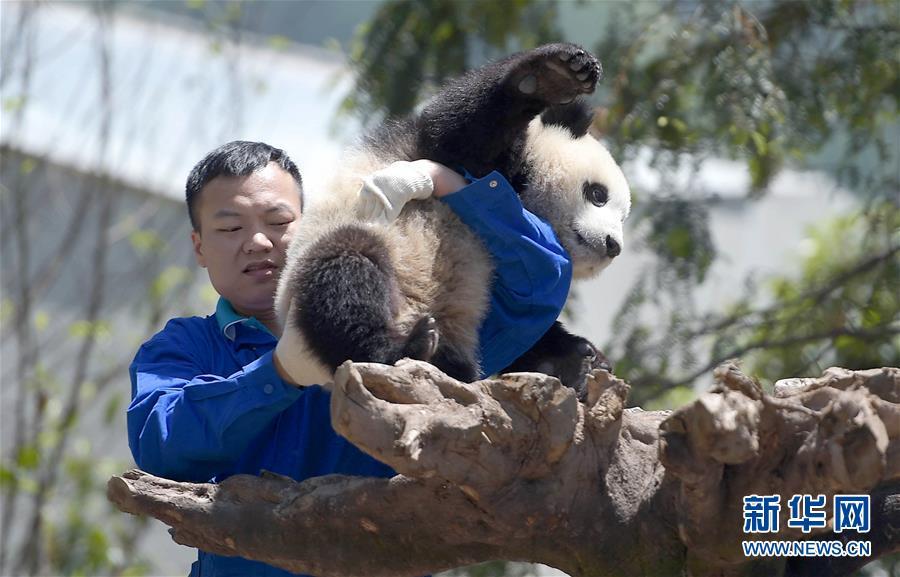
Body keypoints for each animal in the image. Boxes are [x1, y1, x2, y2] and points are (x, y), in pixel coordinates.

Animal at [274, 44, 632, 396]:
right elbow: (460, 131)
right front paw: (553, 76)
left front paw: (581, 359)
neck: (527, 196)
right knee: (345, 276)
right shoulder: (444, 153)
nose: (613, 245)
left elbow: (521, 329)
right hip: (337, 256)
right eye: (598, 194)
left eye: (623, 217)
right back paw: (403, 347)